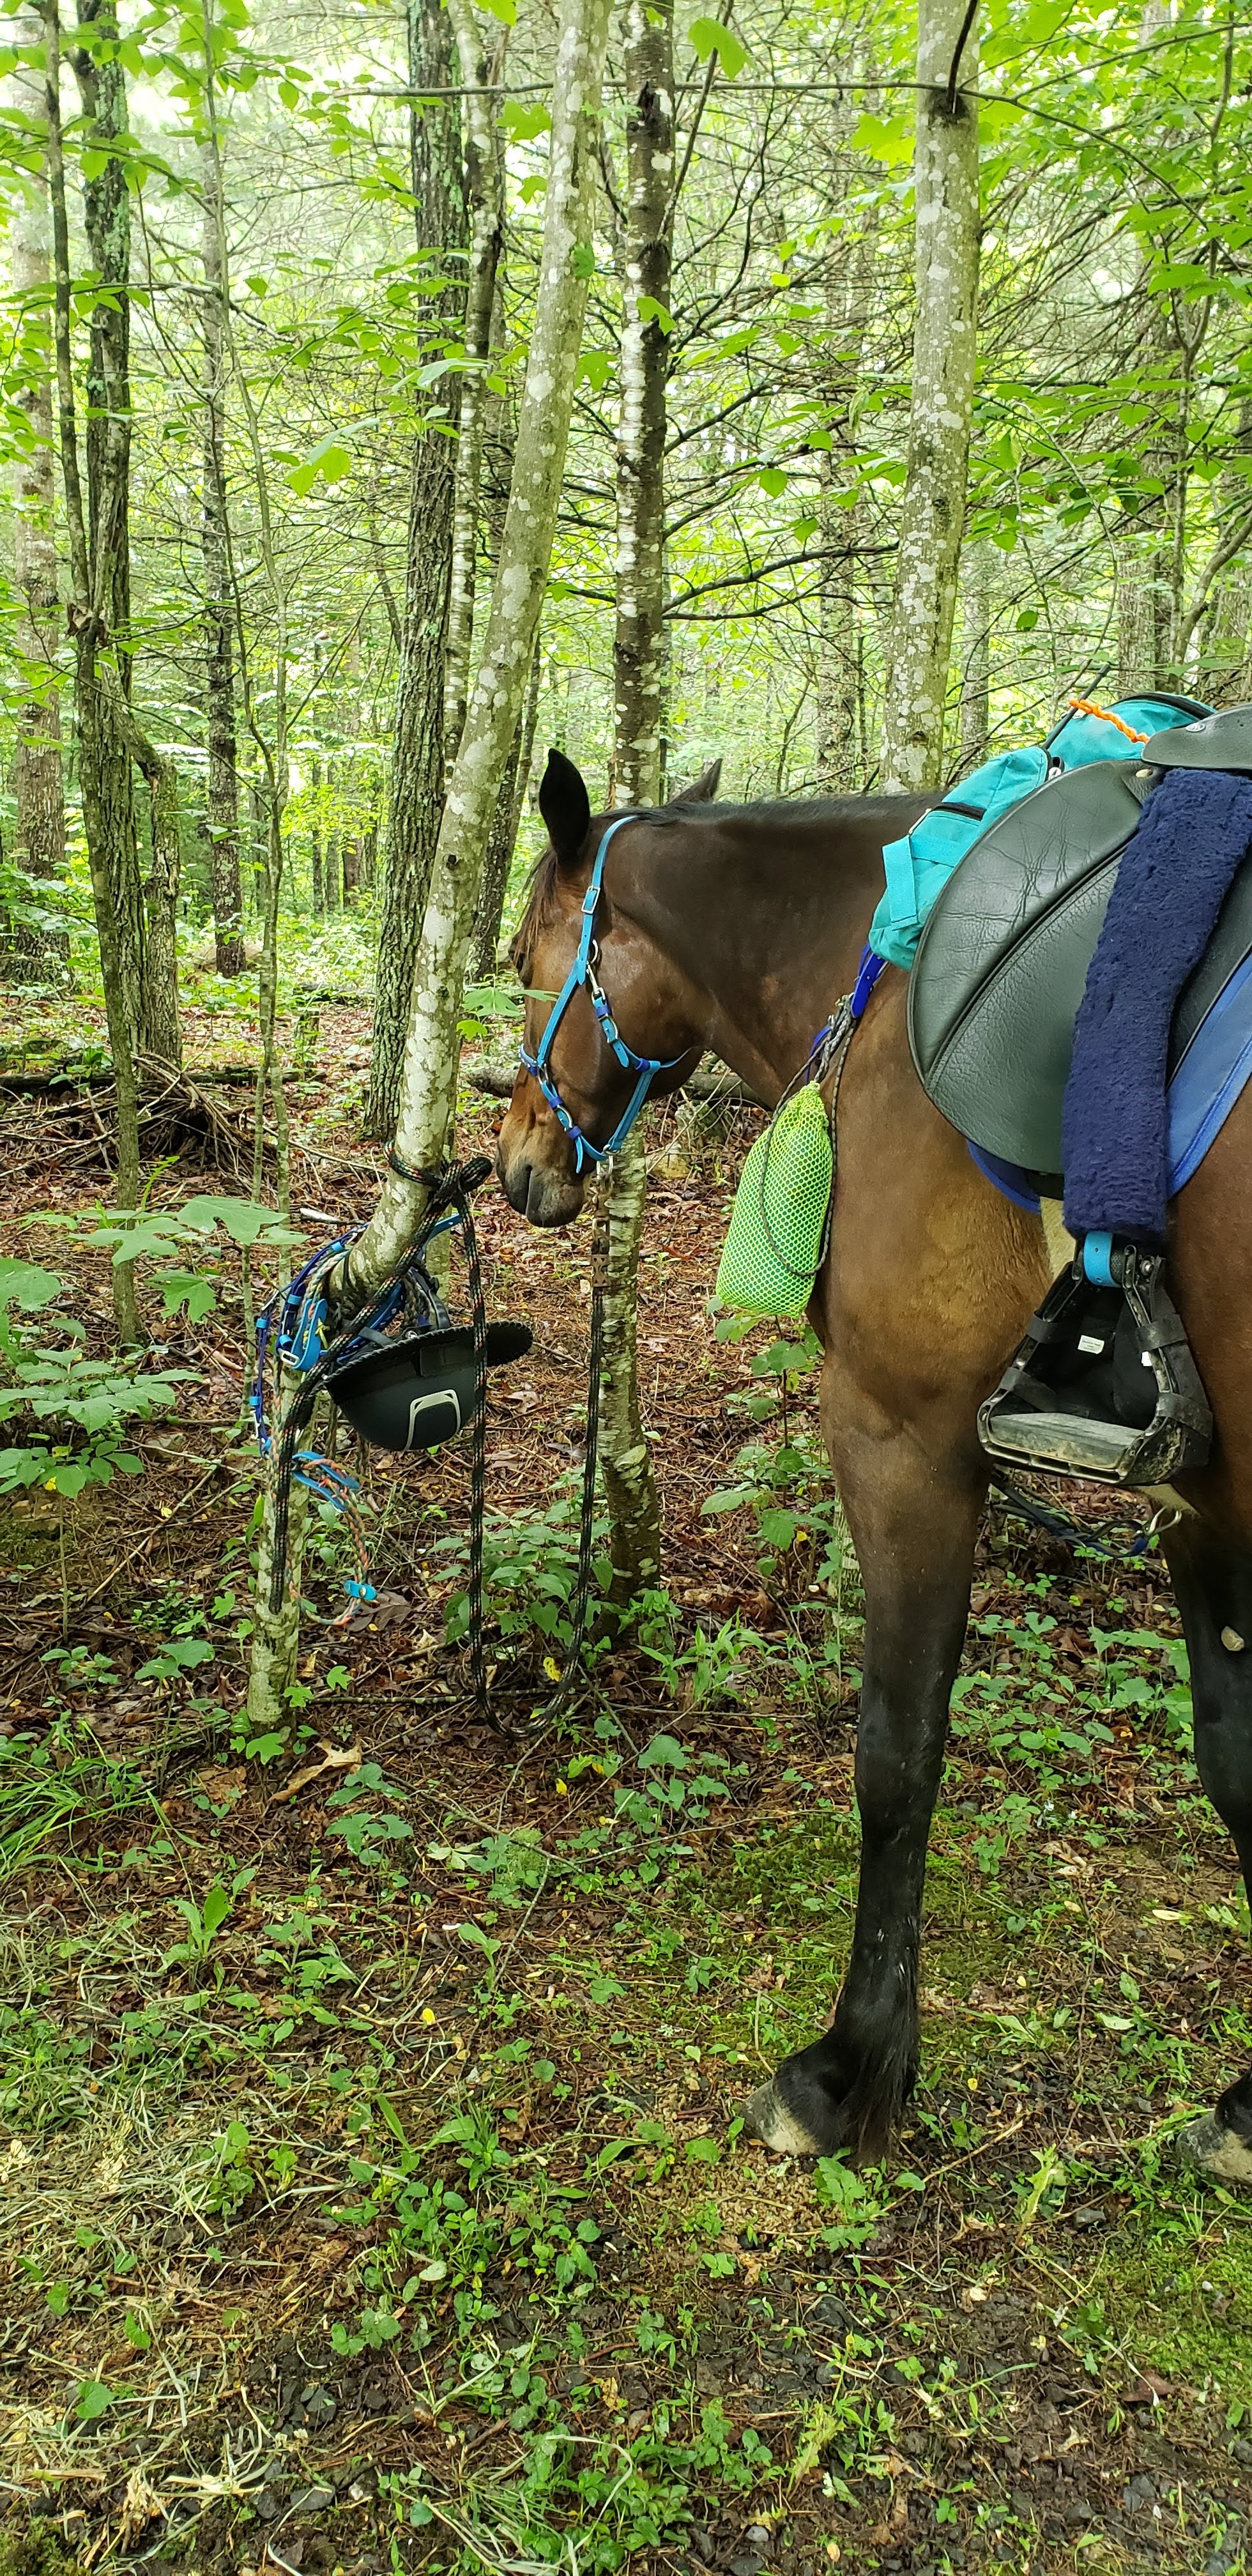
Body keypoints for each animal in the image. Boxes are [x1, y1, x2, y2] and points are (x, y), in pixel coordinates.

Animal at [497, 747, 1252, 2183]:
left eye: (521, 958)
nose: (512, 1166)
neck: (885, 960)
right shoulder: (1208, 1507)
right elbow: (1239, 1765)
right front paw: (1246, 2107)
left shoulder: (904, 1444)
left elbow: (897, 1760)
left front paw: (847, 2073)